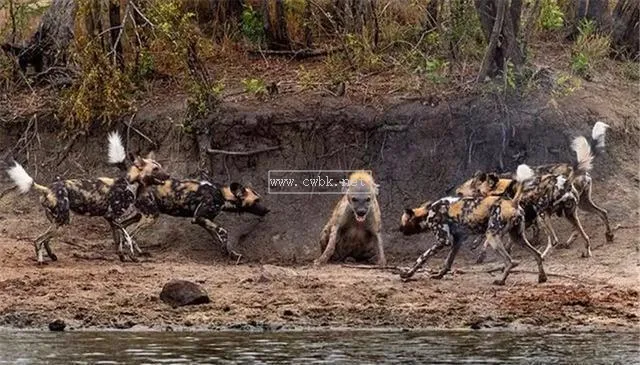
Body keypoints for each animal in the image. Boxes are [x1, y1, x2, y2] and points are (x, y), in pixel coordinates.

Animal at [5, 132, 170, 264]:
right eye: (155, 169)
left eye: (160, 167)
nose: (168, 175)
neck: (130, 184)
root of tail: (47, 188)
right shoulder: (113, 217)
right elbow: (127, 236)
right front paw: (132, 256)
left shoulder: (111, 220)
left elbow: (118, 240)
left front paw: (122, 257)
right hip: (62, 221)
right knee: (38, 240)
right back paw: (40, 261)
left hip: (57, 221)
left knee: (45, 240)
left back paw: (51, 256)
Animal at [400, 164, 544, 284]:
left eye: (403, 222)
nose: (400, 229)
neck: (428, 212)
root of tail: (512, 202)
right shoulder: (457, 241)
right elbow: (448, 262)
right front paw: (439, 275)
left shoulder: (443, 241)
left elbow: (421, 258)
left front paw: (408, 274)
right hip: (517, 237)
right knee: (537, 254)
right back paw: (542, 278)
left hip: (492, 236)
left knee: (509, 261)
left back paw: (500, 281)